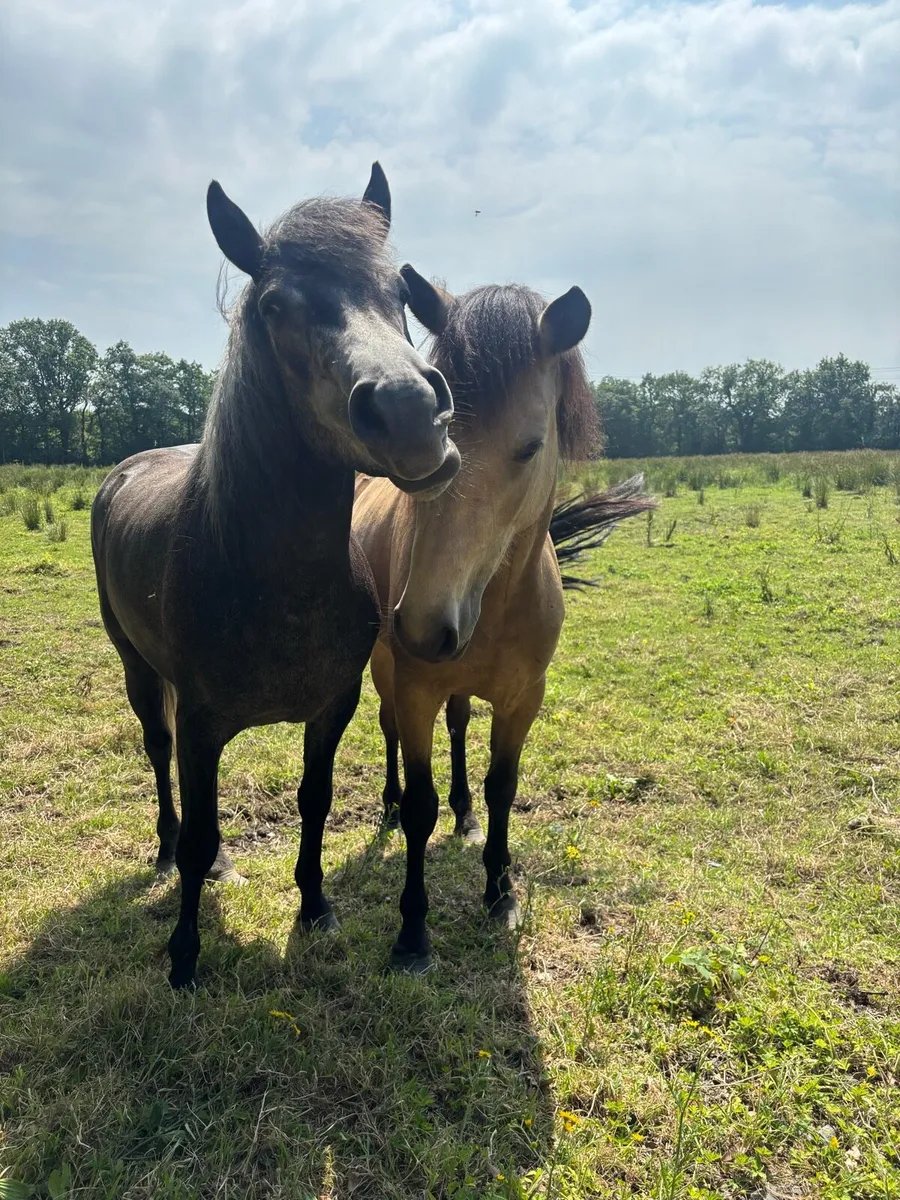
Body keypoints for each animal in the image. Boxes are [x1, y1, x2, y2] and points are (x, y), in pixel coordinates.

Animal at [91, 165, 460, 989]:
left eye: (398, 292)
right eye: (274, 305)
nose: (412, 413)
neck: (272, 583)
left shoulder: (334, 707)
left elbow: (313, 802)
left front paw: (315, 905)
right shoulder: (202, 724)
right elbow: (200, 825)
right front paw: (184, 956)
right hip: (136, 669)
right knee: (159, 759)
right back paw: (165, 851)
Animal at [352, 271, 654, 973]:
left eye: (530, 448)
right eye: (440, 436)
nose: (424, 626)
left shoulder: (523, 700)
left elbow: (501, 788)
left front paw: (499, 891)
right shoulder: (414, 688)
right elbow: (420, 803)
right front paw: (412, 933)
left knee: (462, 727)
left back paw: (463, 816)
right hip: (385, 669)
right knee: (389, 735)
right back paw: (388, 803)